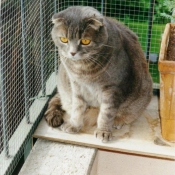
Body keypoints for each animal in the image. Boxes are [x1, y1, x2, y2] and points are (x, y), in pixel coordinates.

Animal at [44, 6, 152, 142]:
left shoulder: (112, 89)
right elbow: (77, 107)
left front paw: (103, 131)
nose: (72, 53)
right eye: (64, 39)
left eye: (85, 41)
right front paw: (74, 125)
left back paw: (118, 121)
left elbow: (106, 113)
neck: (83, 69)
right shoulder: (76, 84)